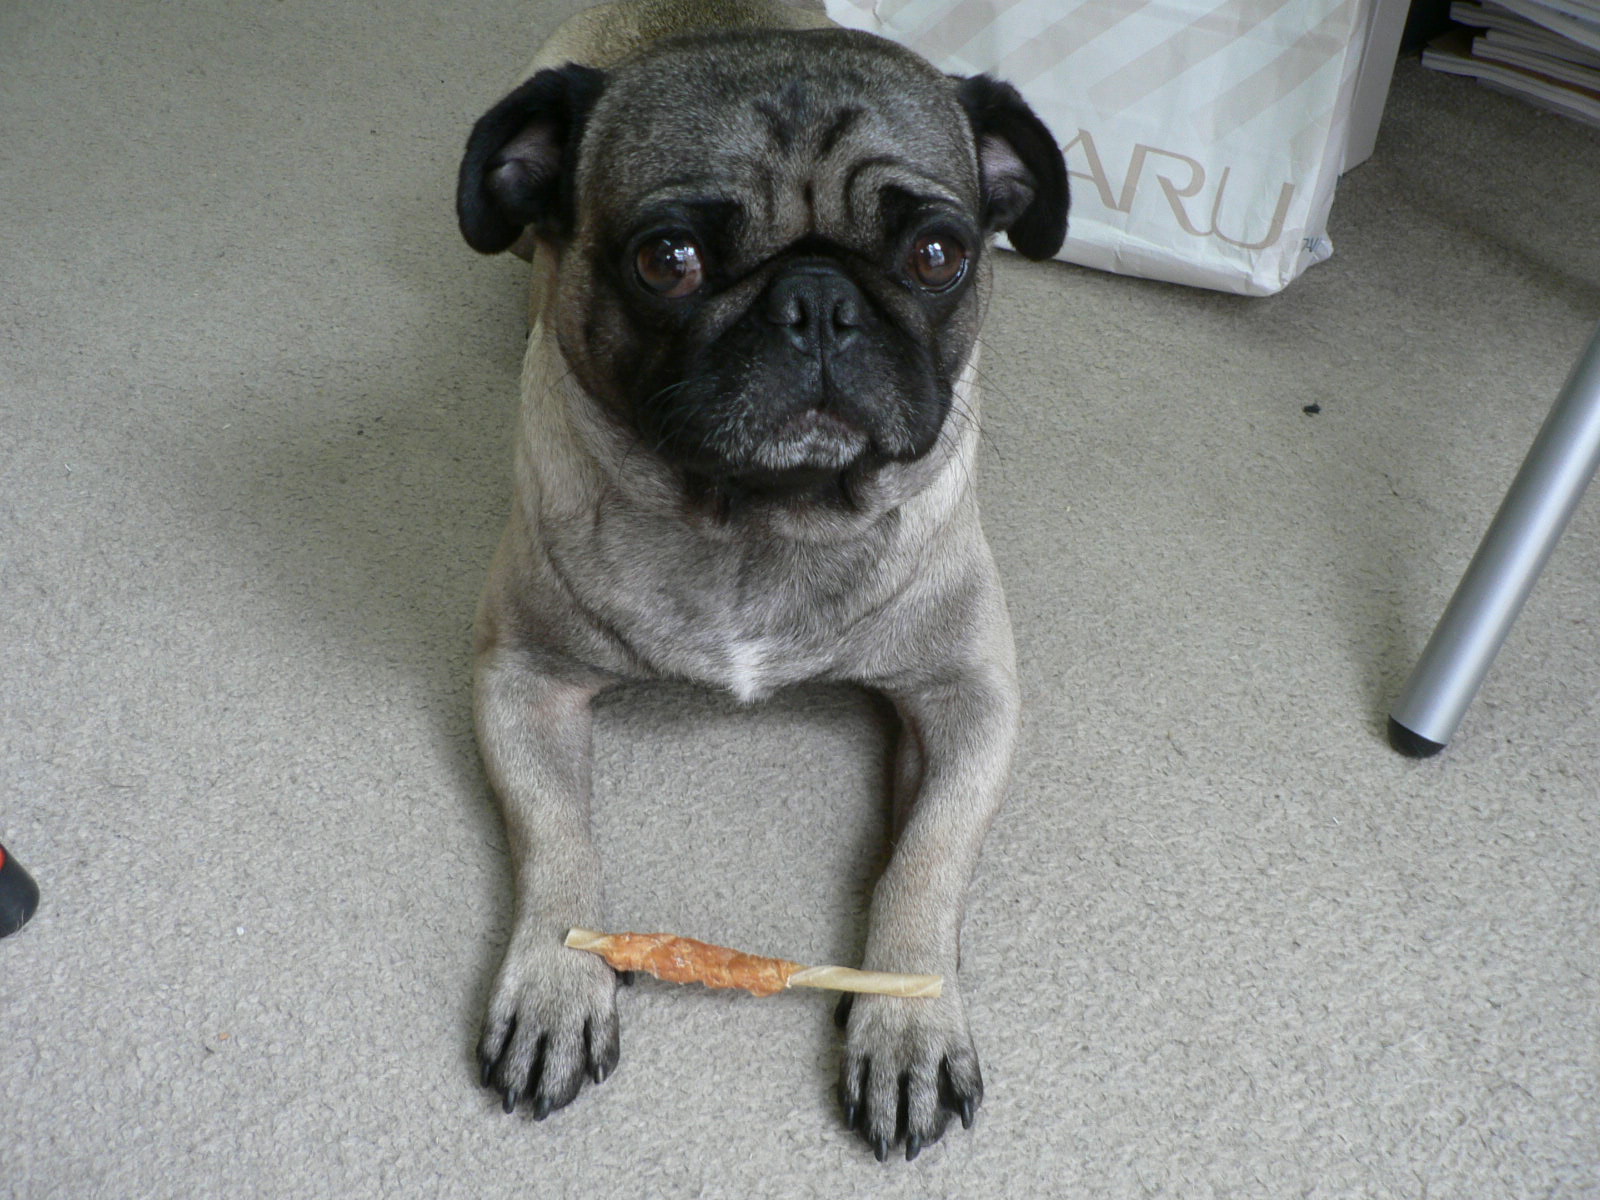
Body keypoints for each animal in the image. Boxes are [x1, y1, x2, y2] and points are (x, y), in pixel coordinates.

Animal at [457, 0, 1068, 1164]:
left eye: (937, 253)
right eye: (669, 260)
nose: (817, 300)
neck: (757, 516)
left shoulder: (968, 700)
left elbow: (923, 858)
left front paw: (907, 1020)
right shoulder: (522, 679)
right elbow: (556, 839)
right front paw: (558, 982)